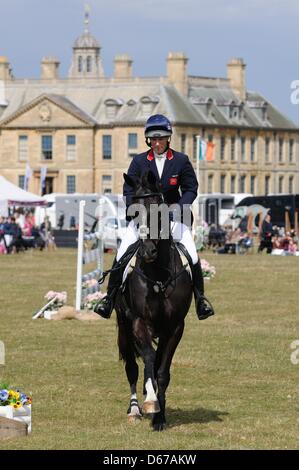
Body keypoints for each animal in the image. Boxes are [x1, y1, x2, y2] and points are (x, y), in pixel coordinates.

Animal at [115, 171, 195, 432]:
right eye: (133, 213)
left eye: (159, 211)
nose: (147, 252)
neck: (158, 274)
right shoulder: (139, 322)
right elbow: (149, 359)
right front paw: (150, 402)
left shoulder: (175, 327)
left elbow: (162, 370)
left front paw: (160, 417)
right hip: (123, 326)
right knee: (132, 367)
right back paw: (134, 409)